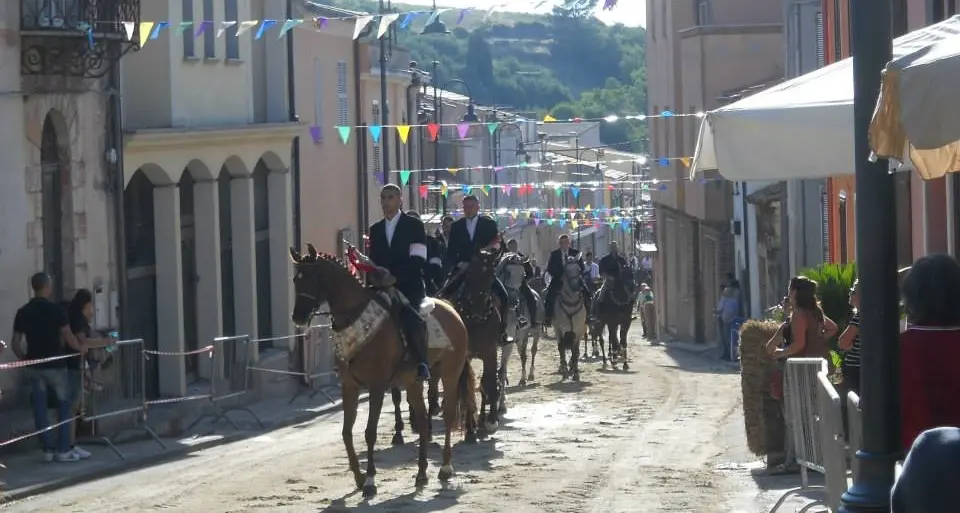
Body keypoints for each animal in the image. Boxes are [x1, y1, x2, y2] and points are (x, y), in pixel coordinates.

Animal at [286, 245, 478, 496]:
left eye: (315, 278)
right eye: (295, 280)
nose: (298, 317)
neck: (357, 319)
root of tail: (450, 307)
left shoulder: (376, 387)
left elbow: (370, 432)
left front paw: (369, 481)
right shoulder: (349, 386)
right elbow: (346, 432)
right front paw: (359, 478)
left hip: (449, 374)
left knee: (447, 415)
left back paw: (445, 468)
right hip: (413, 381)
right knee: (423, 420)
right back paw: (421, 474)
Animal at [440, 246, 506, 438]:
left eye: (492, 274)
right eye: (470, 272)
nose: (477, 306)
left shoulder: (490, 352)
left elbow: (489, 383)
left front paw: (491, 421)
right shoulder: (465, 355)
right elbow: (467, 385)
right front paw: (470, 429)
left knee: (484, 384)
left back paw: (484, 420)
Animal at [498, 251, 544, 388]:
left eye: (523, 275)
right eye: (508, 273)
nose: (514, 301)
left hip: (534, 331)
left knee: (531, 352)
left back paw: (529, 376)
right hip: (519, 336)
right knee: (522, 354)